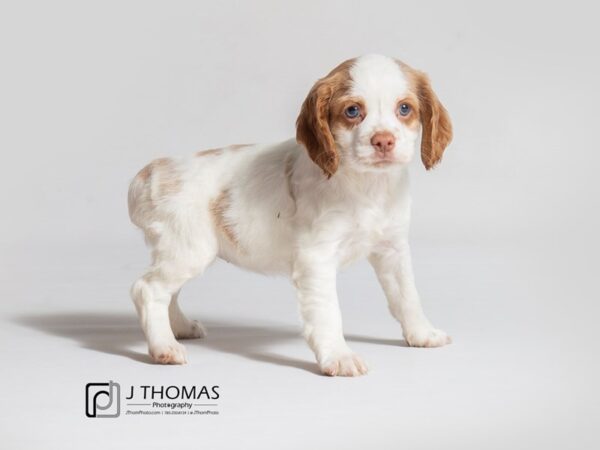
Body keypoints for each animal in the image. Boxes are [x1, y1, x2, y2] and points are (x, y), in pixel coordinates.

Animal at [129, 52, 452, 376]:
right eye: (352, 111)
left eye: (404, 108)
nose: (383, 141)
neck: (368, 185)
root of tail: (150, 173)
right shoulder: (317, 257)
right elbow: (328, 311)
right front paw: (339, 356)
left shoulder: (392, 249)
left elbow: (407, 296)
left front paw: (422, 334)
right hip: (189, 248)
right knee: (148, 289)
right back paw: (165, 347)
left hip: (181, 252)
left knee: (168, 292)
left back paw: (180, 328)